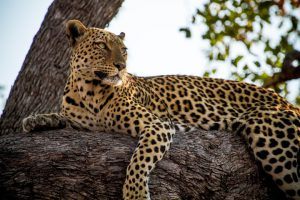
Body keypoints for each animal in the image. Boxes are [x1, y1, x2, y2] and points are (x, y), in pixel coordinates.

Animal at [22, 19, 300, 200]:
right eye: (102, 46)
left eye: (124, 50)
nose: (121, 66)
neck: (88, 89)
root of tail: (288, 102)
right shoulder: (82, 122)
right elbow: (60, 117)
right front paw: (36, 120)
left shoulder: (158, 124)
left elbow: (138, 161)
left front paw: (135, 194)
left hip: (270, 136)